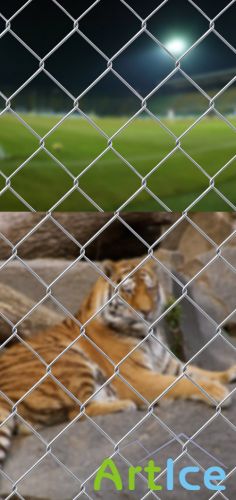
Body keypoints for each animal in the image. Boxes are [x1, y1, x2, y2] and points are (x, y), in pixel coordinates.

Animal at [0, 258, 236, 464]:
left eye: (150, 288)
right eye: (128, 290)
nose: (146, 312)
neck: (148, 334)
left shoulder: (170, 366)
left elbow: (200, 372)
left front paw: (228, 374)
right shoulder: (136, 377)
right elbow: (180, 383)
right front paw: (217, 392)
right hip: (69, 360)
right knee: (77, 412)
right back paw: (124, 404)